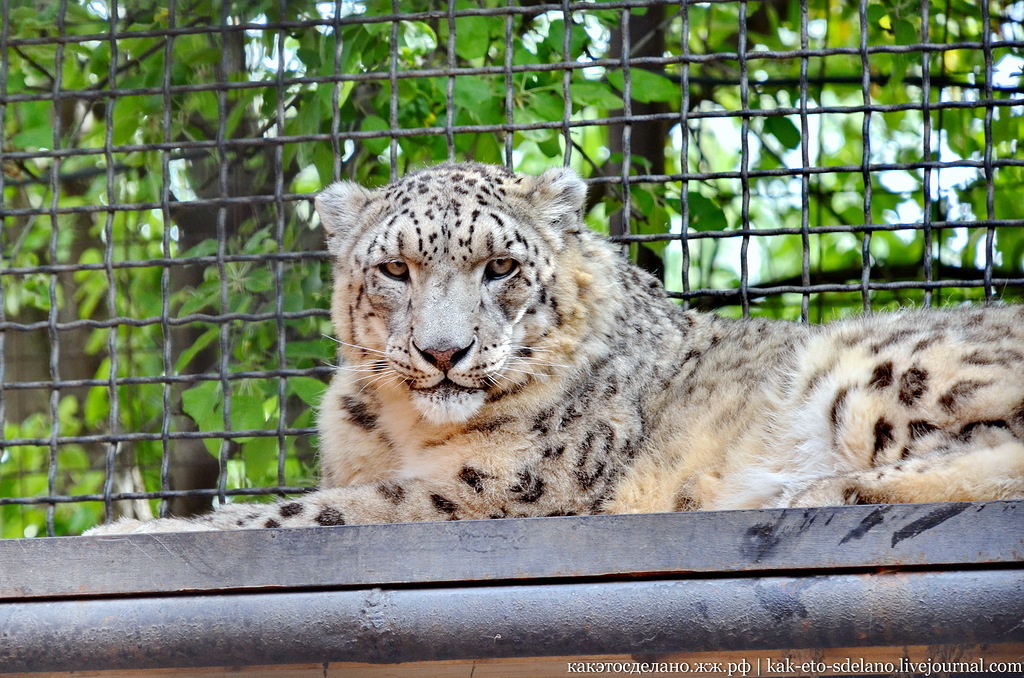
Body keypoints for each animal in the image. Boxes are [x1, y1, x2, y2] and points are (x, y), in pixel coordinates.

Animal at [86, 161, 1024, 532]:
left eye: (500, 265)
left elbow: (311, 511)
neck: (401, 429)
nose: (444, 352)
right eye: (393, 268)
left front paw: (126, 532)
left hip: (877, 366)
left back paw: (830, 488)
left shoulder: (493, 486)